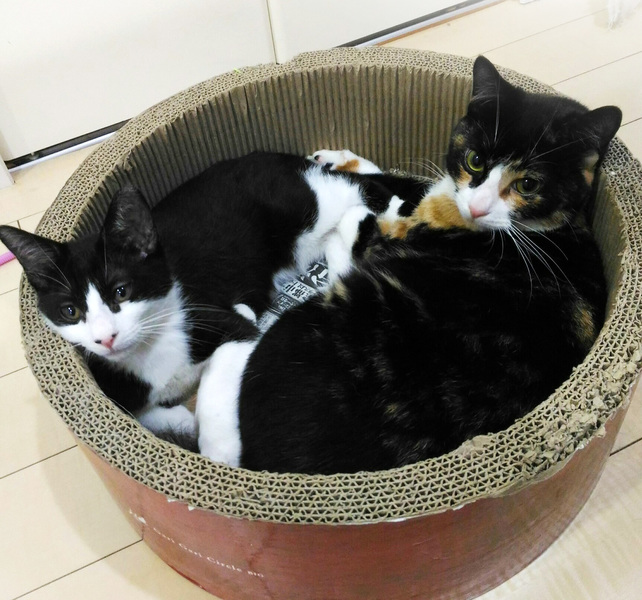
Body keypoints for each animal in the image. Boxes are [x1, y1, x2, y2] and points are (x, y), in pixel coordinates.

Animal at [0, 152, 419, 438]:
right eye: (70, 310)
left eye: (122, 290)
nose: (106, 338)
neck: (153, 352)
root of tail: (278, 157)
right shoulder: (113, 382)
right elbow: (139, 412)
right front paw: (177, 419)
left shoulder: (217, 319)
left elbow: (227, 366)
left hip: (311, 205)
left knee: (364, 188)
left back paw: (388, 208)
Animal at [194, 56, 621, 473]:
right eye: (475, 160)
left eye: (528, 184)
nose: (478, 208)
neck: (548, 229)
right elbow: (400, 180)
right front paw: (336, 158)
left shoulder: (392, 239)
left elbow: (364, 221)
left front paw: (352, 203)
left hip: (312, 321)